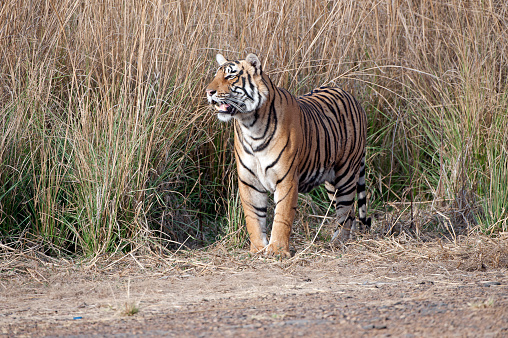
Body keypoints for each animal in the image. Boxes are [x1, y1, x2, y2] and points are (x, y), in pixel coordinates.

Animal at [205, 54, 370, 258]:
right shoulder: (249, 181)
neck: (250, 124)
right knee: (350, 212)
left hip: (346, 174)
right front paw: (257, 249)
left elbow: (282, 217)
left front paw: (277, 251)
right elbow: (253, 217)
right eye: (216, 76)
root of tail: (351, 96)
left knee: (345, 212)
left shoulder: (286, 179)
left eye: (230, 76)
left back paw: (337, 243)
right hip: (332, 183)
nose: (209, 92)